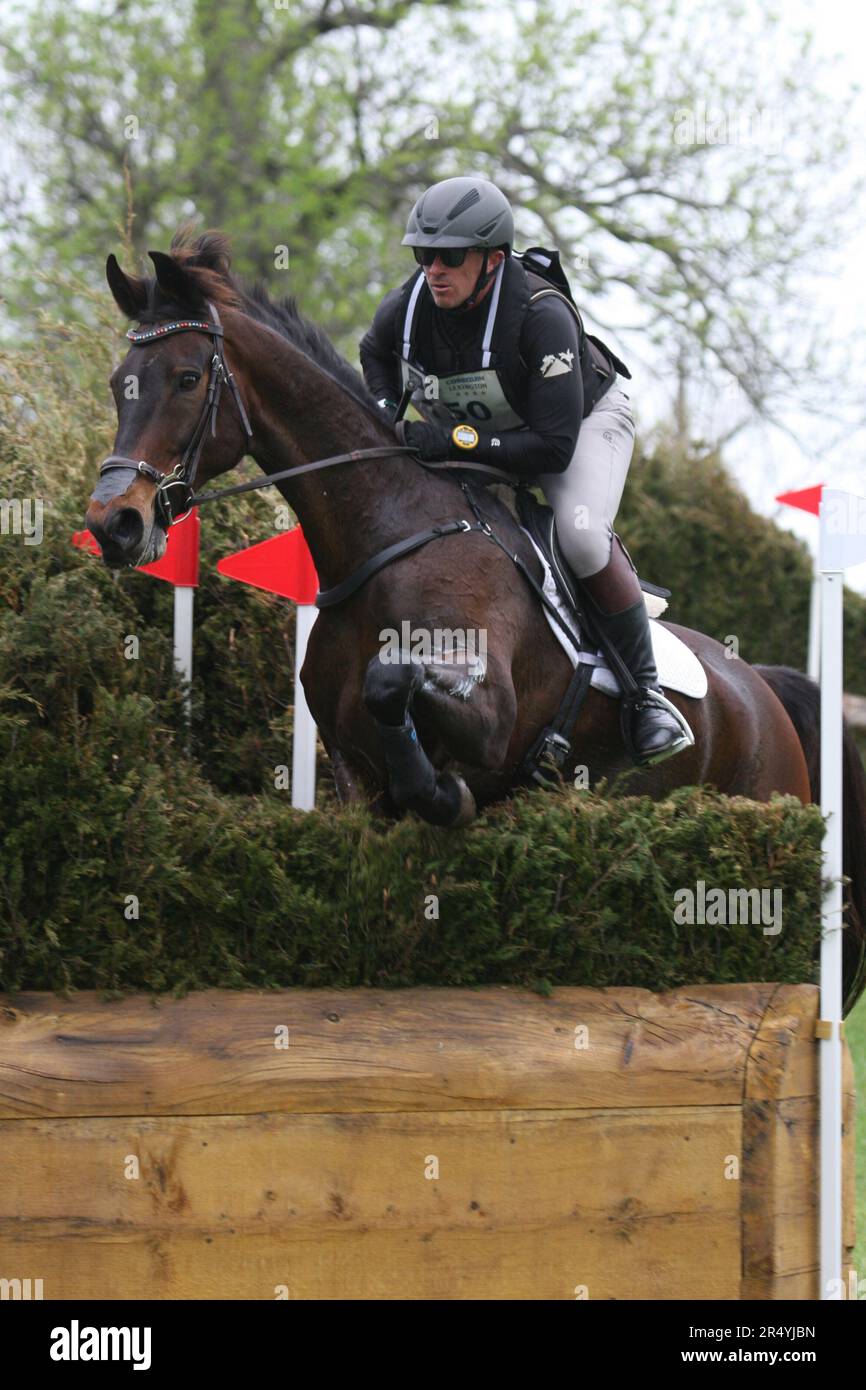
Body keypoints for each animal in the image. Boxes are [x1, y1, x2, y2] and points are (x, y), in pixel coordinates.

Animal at [86, 227, 866, 1011]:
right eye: (120, 381)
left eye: (188, 378)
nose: (115, 525)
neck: (387, 537)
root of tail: (761, 685)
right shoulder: (351, 769)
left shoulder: (489, 715)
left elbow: (393, 683)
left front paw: (444, 795)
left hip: (761, 791)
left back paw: (654, 721)